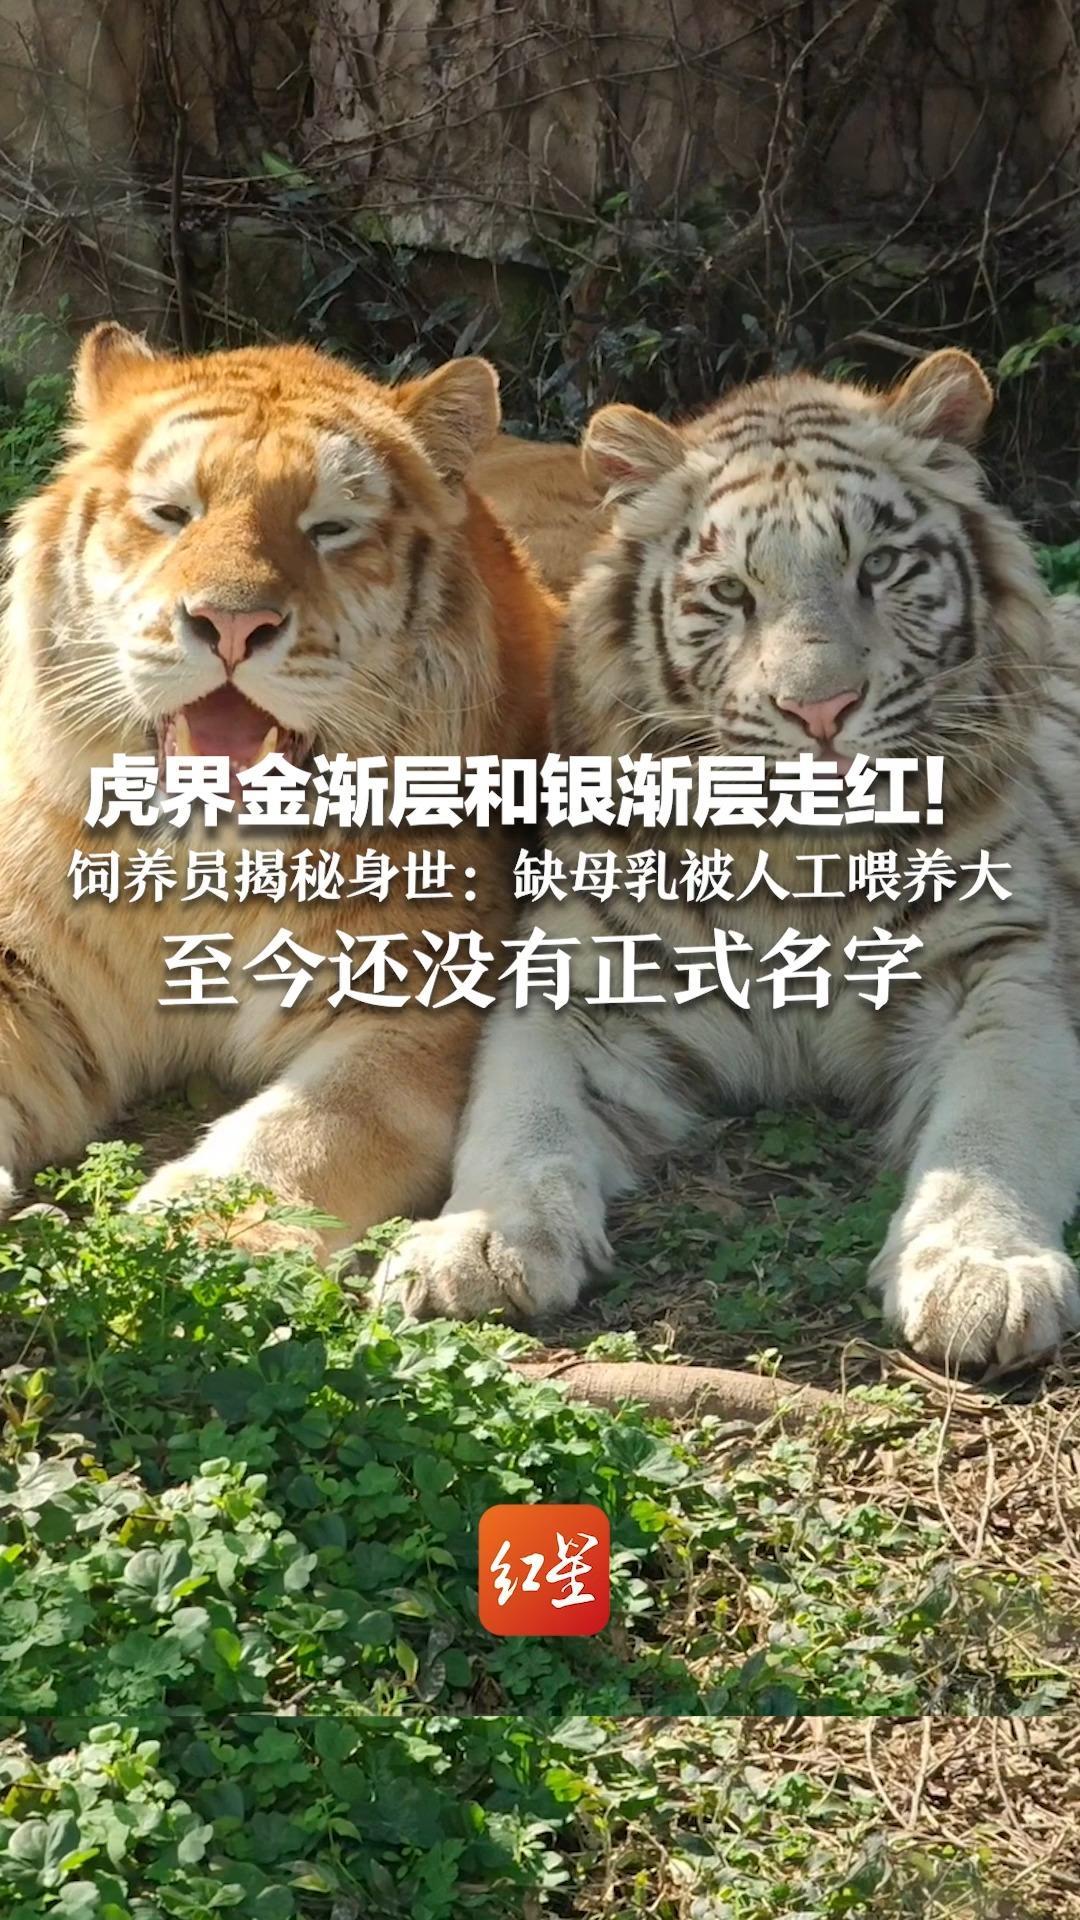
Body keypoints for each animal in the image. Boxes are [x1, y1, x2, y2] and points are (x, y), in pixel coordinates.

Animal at [0, 323, 558, 1245]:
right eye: (171, 514)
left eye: (329, 527)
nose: (230, 623)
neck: (203, 871)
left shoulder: (417, 1001)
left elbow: (301, 1132)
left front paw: (191, 1239)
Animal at [378, 348, 1080, 1370]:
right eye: (731, 595)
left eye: (878, 567)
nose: (821, 709)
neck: (799, 859)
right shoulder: (580, 985)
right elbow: (518, 1114)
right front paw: (475, 1244)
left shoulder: (1001, 968)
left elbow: (996, 1124)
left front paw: (981, 1272)